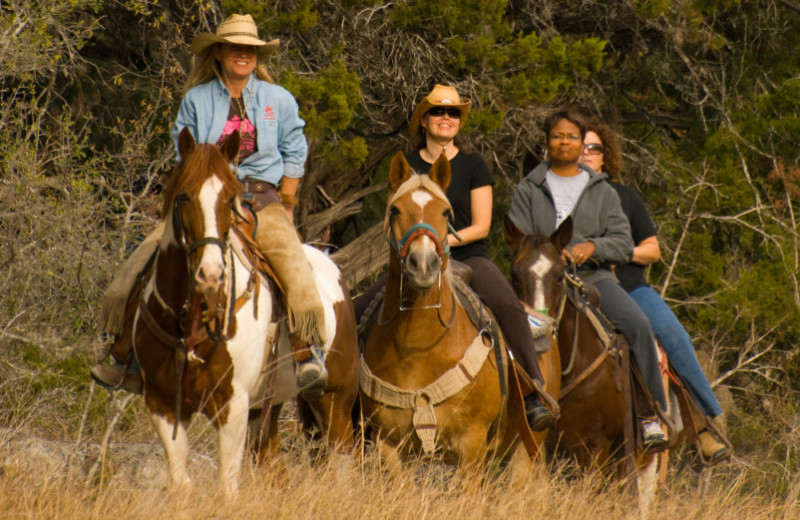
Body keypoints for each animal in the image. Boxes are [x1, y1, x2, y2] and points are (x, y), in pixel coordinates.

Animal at [133, 129, 358, 496]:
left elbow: (227, 487)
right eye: (184, 196)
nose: (211, 274)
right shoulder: (162, 402)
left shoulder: (232, 405)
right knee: (275, 466)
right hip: (267, 407)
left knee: (341, 462)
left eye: (229, 200)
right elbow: (181, 483)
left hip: (336, 400)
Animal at [358, 151, 552, 480]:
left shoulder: (471, 446)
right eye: (395, 210)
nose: (423, 264)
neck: (417, 347)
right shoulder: (389, 445)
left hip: (525, 453)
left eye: (446, 213)